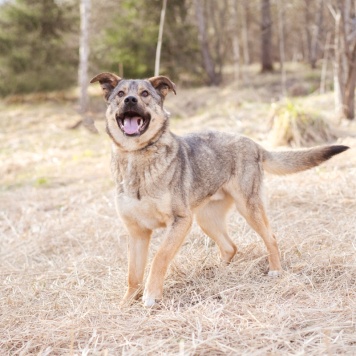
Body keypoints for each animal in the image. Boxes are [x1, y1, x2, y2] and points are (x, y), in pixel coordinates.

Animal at [90, 72, 350, 306]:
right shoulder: (137, 232)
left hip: (248, 208)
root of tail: (253, 143)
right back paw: (217, 271)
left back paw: (275, 270)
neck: (135, 156)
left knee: (271, 237)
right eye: (121, 94)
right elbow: (133, 274)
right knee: (229, 247)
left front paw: (152, 295)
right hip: (207, 219)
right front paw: (126, 303)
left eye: (144, 94)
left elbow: (160, 257)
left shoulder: (180, 221)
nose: (130, 100)